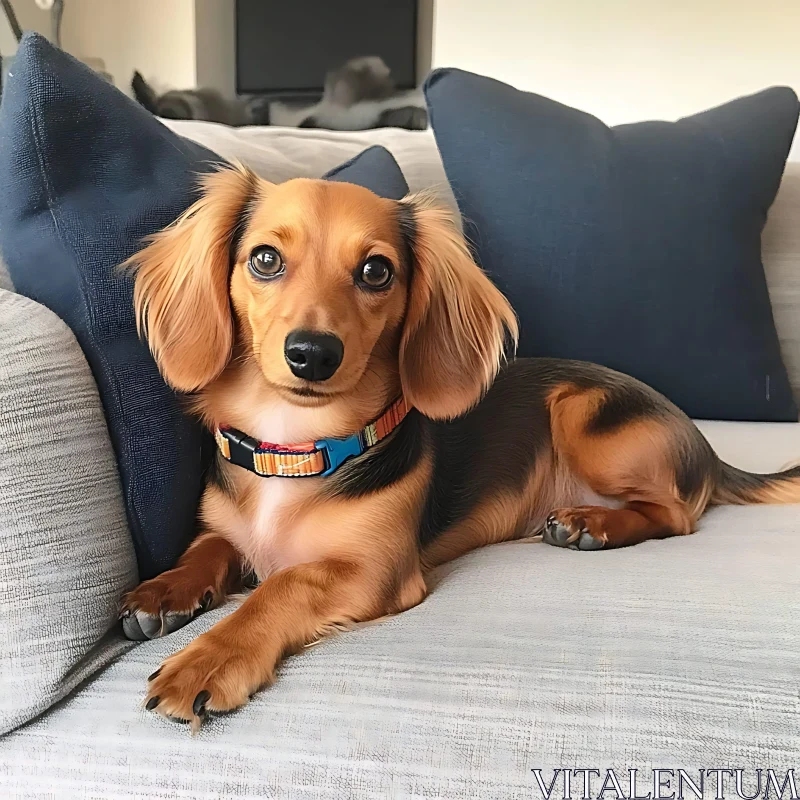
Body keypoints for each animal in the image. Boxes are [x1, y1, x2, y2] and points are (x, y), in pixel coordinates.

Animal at [122, 166, 800, 728]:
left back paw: (593, 523)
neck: (295, 449)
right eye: (264, 259)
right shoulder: (224, 531)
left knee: (677, 514)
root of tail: (705, 446)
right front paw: (165, 591)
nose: (312, 354)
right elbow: (205, 551)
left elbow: (281, 586)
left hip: (582, 414)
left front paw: (209, 658)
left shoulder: (375, 569)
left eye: (376, 271)